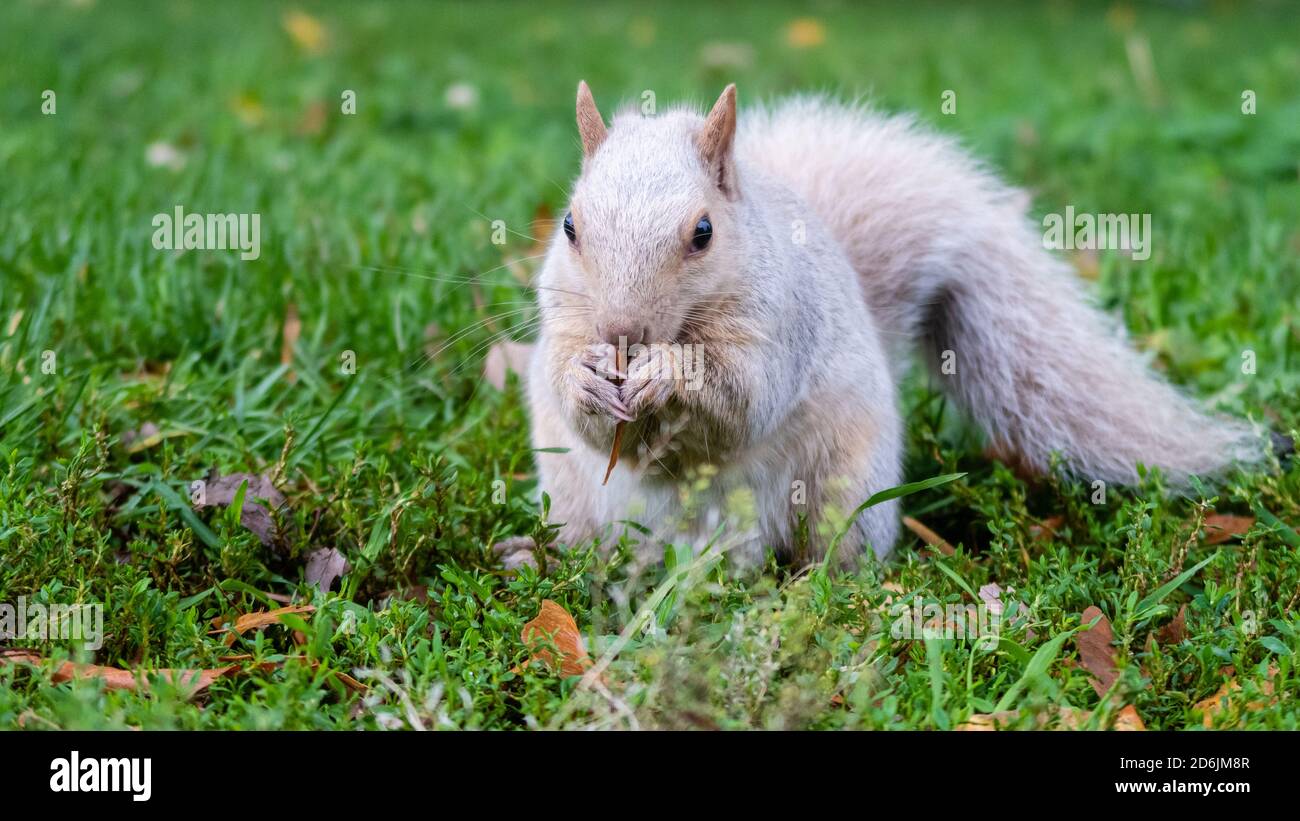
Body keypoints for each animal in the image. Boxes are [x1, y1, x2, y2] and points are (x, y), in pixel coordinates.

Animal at [517, 83, 1268, 566]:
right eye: (570, 225)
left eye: (703, 232)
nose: (622, 332)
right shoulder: (563, 316)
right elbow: (570, 392)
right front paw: (587, 377)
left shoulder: (783, 323)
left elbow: (743, 398)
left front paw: (669, 373)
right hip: (572, 494)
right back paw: (542, 557)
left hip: (842, 487)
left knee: (827, 557)